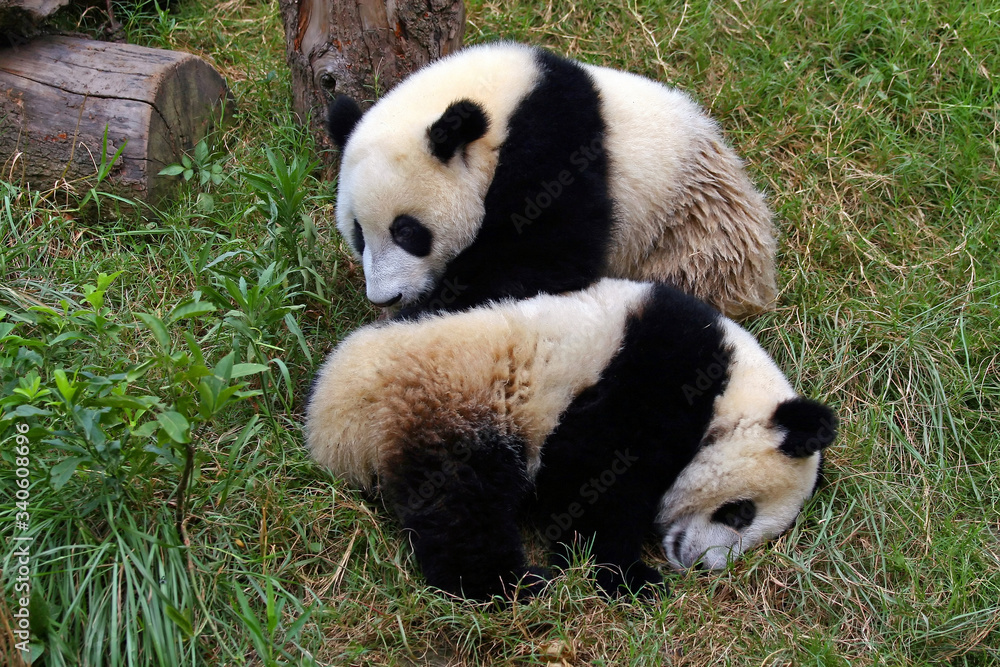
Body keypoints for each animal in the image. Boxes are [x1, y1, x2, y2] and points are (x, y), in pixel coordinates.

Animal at [305, 279, 837, 600]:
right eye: (740, 512)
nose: (705, 566)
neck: (728, 393)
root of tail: (331, 423)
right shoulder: (656, 378)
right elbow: (599, 485)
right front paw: (631, 578)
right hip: (451, 409)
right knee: (462, 507)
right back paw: (515, 585)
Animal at [326, 42, 776, 320]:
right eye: (359, 233)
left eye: (407, 231)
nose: (385, 296)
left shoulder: (557, 146)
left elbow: (545, 259)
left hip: (685, 241)